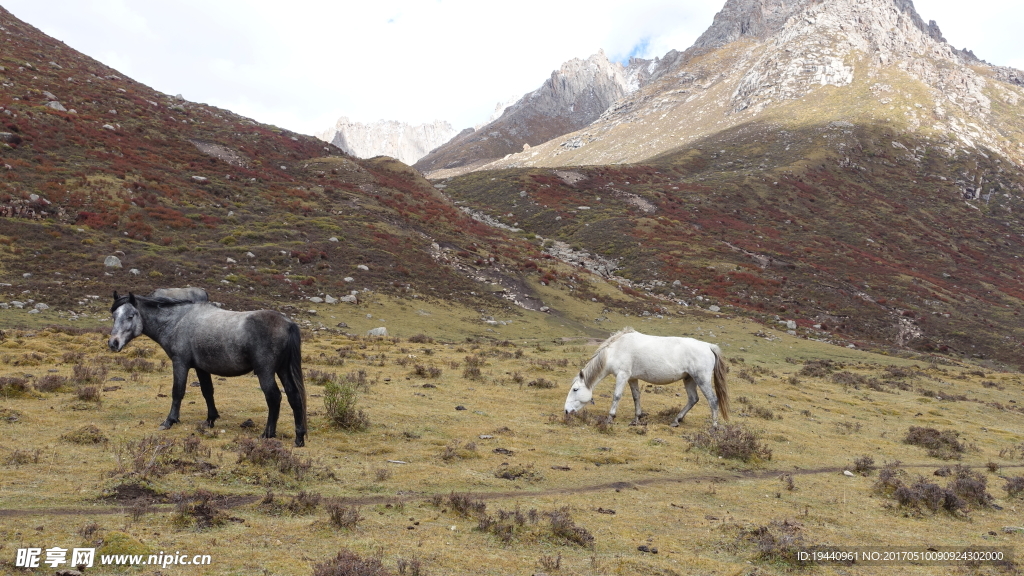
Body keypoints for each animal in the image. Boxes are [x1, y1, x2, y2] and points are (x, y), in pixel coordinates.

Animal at [110, 291, 307, 444]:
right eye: (114, 316)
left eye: (130, 316)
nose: (113, 343)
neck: (178, 321)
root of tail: (288, 323)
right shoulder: (201, 368)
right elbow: (207, 391)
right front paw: (210, 420)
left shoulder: (180, 363)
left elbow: (178, 392)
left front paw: (170, 421)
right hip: (282, 370)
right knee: (294, 396)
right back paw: (299, 438)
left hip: (265, 372)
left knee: (274, 397)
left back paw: (268, 434)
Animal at [569, 327, 729, 426]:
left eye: (575, 389)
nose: (566, 411)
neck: (615, 350)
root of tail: (708, 346)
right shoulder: (632, 378)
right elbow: (636, 397)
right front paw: (637, 418)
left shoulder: (622, 375)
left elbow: (616, 396)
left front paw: (610, 418)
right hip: (689, 379)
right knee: (693, 399)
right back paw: (676, 420)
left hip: (701, 379)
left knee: (713, 401)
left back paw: (714, 427)